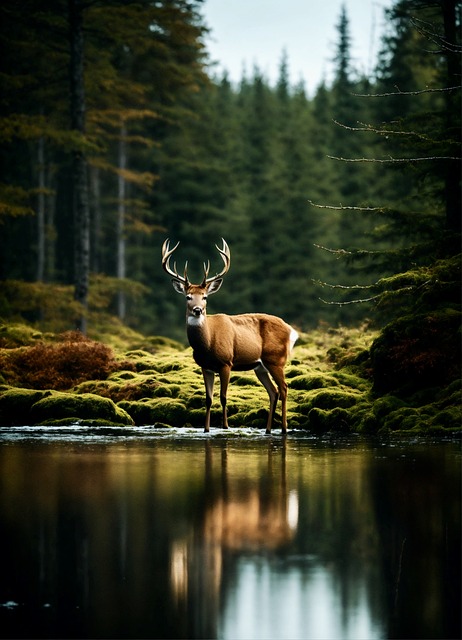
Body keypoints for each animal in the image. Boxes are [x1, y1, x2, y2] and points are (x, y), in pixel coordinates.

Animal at [162, 240, 300, 436]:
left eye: (205, 297)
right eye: (188, 296)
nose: (197, 310)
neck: (207, 344)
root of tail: (291, 330)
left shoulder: (226, 362)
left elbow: (224, 397)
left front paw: (225, 427)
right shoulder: (205, 367)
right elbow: (208, 399)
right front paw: (206, 429)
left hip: (276, 359)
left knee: (284, 388)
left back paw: (284, 429)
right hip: (261, 367)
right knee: (273, 392)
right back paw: (267, 430)